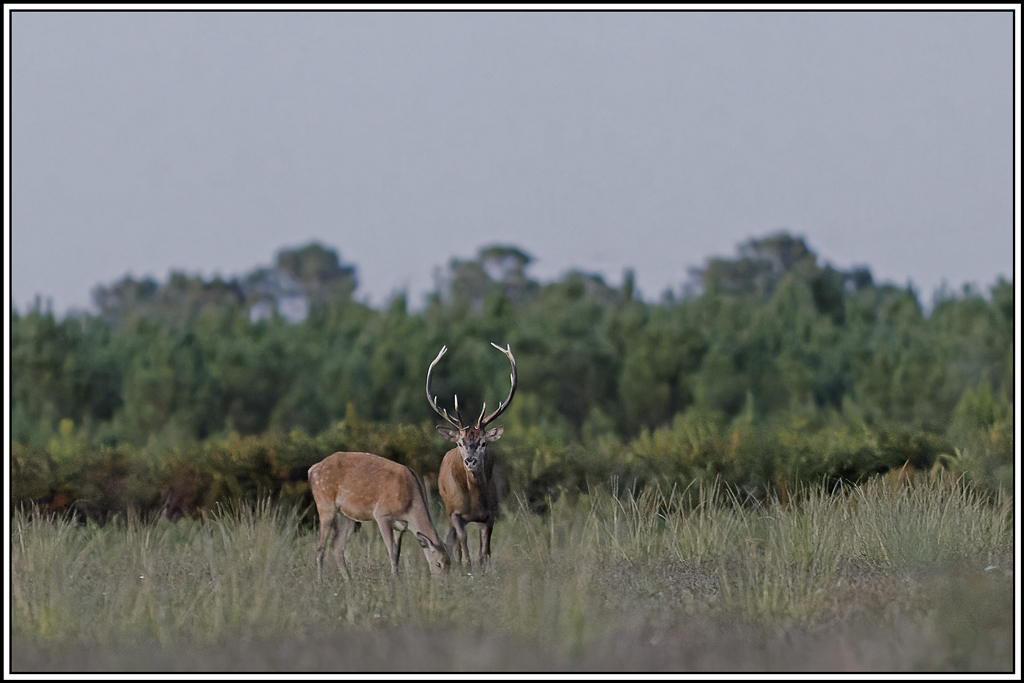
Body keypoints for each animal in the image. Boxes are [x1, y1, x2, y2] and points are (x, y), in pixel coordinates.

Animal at [308, 451, 451, 580]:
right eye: (438, 564)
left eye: (451, 563)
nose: (444, 583)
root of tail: (312, 469)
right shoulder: (382, 515)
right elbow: (391, 552)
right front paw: (394, 579)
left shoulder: (400, 527)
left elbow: (397, 553)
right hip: (325, 505)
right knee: (320, 547)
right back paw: (320, 581)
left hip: (347, 517)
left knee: (336, 546)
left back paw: (349, 581)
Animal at [426, 342, 516, 570]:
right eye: (460, 443)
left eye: (483, 443)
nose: (470, 460)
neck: (474, 501)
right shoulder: (455, 513)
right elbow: (464, 544)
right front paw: (466, 566)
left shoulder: (491, 513)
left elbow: (485, 551)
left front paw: (482, 566)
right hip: (447, 507)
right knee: (454, 540)